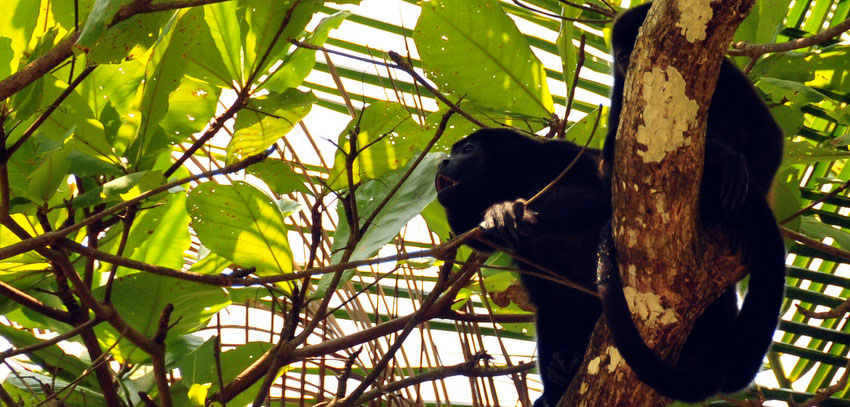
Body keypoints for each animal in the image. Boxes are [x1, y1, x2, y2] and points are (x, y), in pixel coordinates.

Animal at [435, 128, 609, 407]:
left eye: (467, 150)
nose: (443, 162)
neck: (517, 180)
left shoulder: (563, 154)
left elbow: (597, 197)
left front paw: (509, 211)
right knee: (553, 306)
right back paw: (557, 383)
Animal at [597, 3, 786, 402]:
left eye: (633, 50)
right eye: (621, 56)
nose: (627, 61)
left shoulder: (727, 73)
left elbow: (767, 135)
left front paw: (736, 216)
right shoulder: (621, 87)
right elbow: (609, 162)